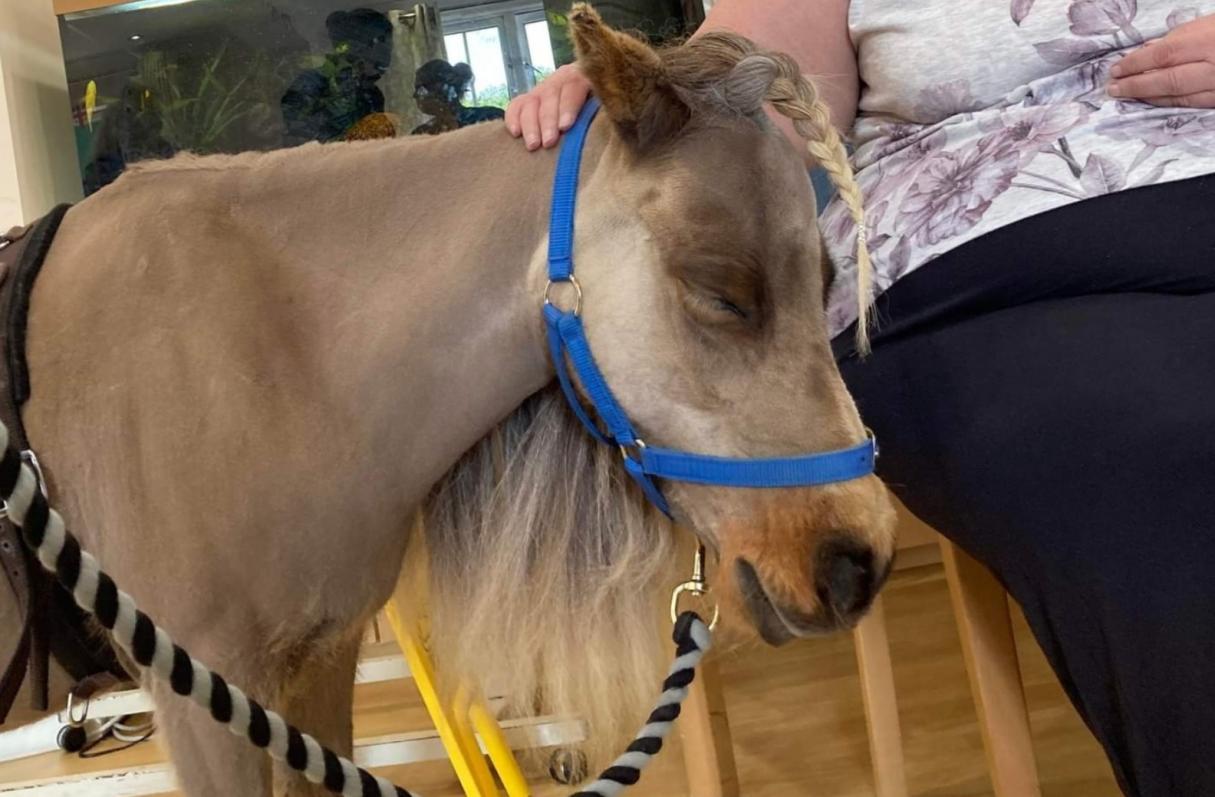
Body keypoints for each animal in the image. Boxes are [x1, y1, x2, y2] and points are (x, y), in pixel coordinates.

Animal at [1, 6, 895, 794]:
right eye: (718, 293)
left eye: (824, 280)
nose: (858, 564)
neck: (274, 348)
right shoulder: (207, 704)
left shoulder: (317, 670)